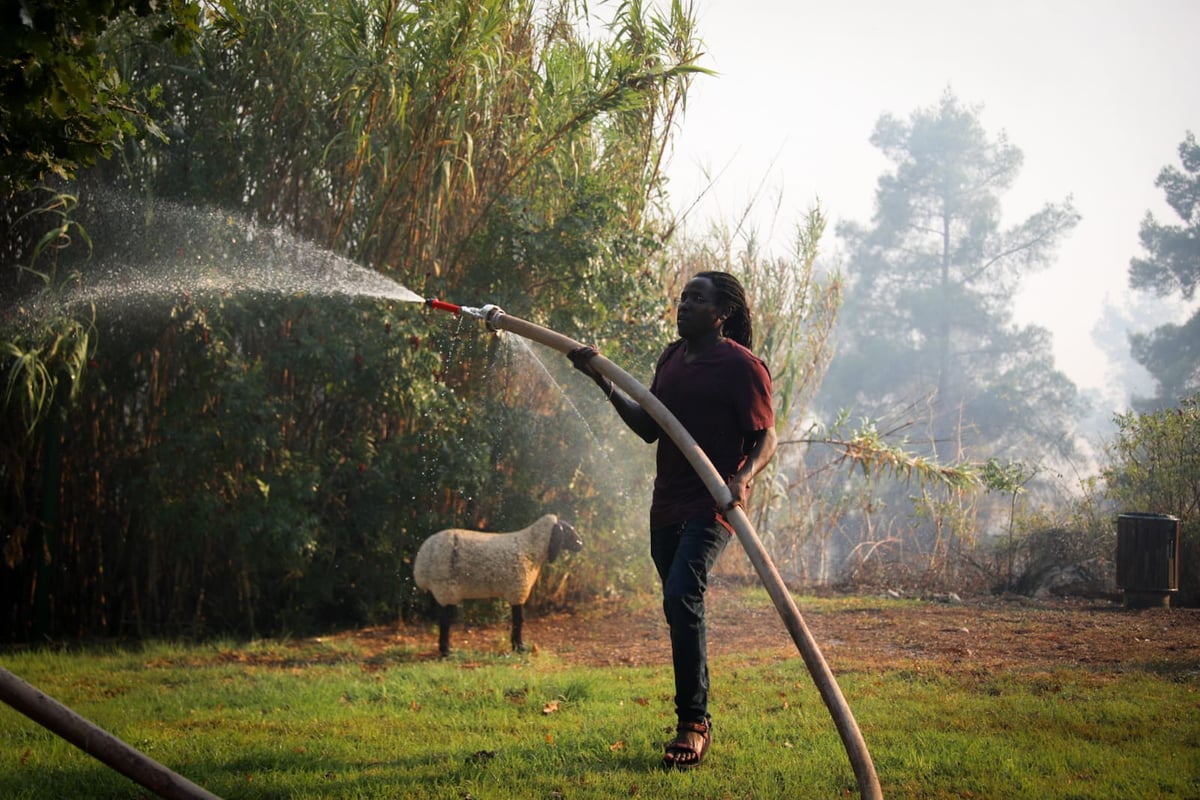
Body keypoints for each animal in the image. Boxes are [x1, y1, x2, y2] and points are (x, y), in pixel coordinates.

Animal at [410, 513, 583, 657]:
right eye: (568, 531)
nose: (581, 544)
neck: (532, 546)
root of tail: (421, 563)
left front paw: (517, 646)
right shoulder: (518, 590)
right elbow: (519, 620)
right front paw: (519, 648)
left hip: (442, 591)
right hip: (445, 588)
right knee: (445, 620)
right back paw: (447, 651)